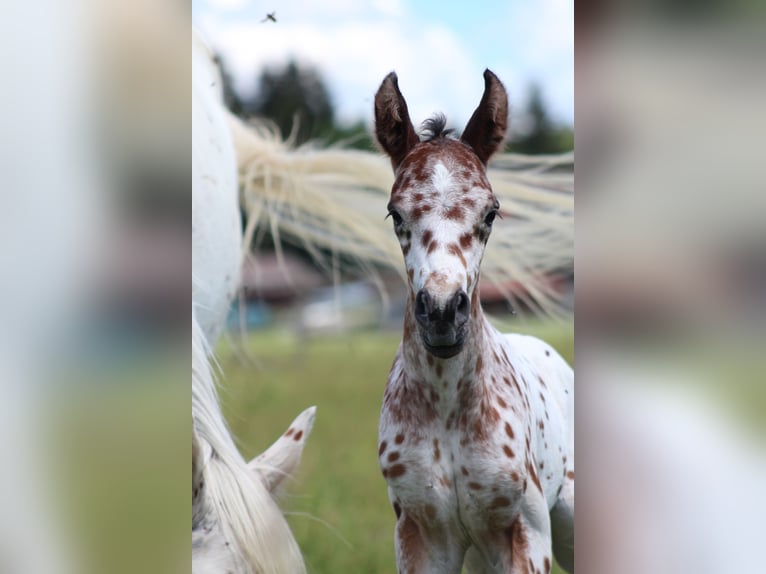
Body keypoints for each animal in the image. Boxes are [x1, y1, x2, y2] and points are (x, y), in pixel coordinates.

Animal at [376, 72, 572, 574]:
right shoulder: (421, 536)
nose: (443, 313)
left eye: (490, 212)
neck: (448, 410)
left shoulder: (524, 535)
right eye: (395, 213)